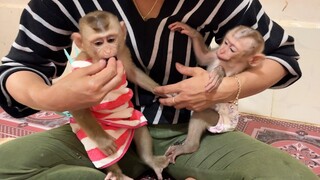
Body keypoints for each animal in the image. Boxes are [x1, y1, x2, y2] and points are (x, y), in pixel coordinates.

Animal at [69, 10, 169, 180]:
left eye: (111, 39)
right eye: (98, 43)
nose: (109, 50)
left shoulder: (122, 51)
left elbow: (132, 72)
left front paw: (160, 89)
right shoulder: (80, 68)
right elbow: (77, 105)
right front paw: (104, 142)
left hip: (132, 119)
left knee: (140, 129)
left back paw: (149, 160)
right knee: (106, 155)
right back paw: (116, 173)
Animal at [165, 21, 264, 162]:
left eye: (232, 49)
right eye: (226, 43)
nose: (222, 50)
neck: (227, 61)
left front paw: (219, 72)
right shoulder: (215, 54)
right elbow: (203, 57)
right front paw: (190, 31)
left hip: (221, 121)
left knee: (202, 113)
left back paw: (189, 147)